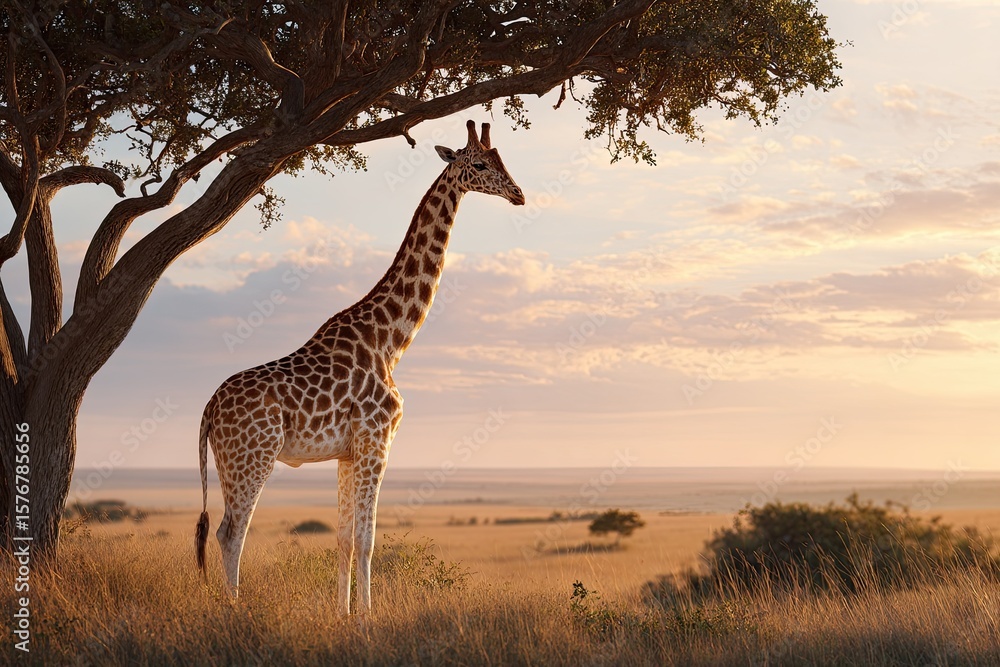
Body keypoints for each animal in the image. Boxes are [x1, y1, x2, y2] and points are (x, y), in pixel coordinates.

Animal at [195, 120, 524, 614]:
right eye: (480, 164)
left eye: (502, 158)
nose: (519, 194)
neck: (390, 341)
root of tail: (209, 410)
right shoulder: (377, 440)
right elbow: (367, 539)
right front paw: (368, 615)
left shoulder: (347, 452)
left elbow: (345, 540)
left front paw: (342, 613)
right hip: (253, 457)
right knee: (230, 532)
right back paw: (234, 609)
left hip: (229, 461)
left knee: (222, 531)